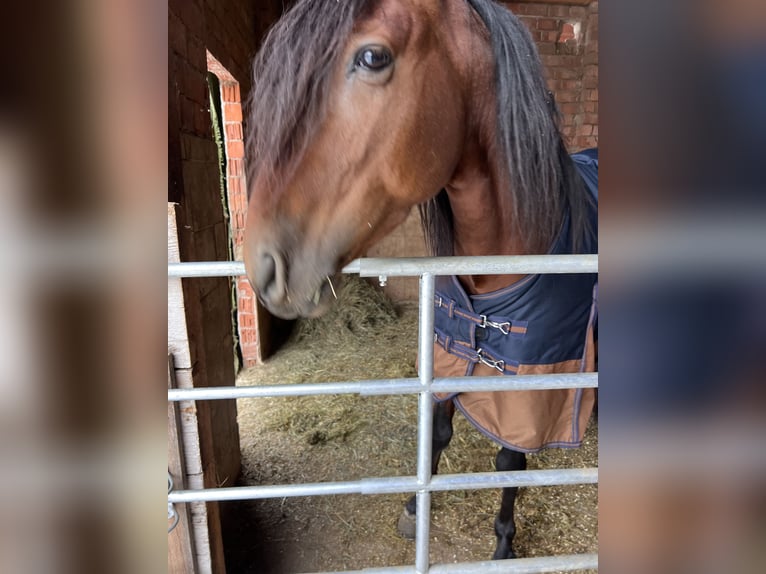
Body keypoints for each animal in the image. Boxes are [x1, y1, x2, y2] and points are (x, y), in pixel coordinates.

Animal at [243, 0, 598, 561]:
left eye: (372, 57)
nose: (261, 264)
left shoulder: (531, 387)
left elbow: (510, 462)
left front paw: (503, 545)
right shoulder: (447, 353)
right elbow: (439, 430)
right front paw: (415, 509)